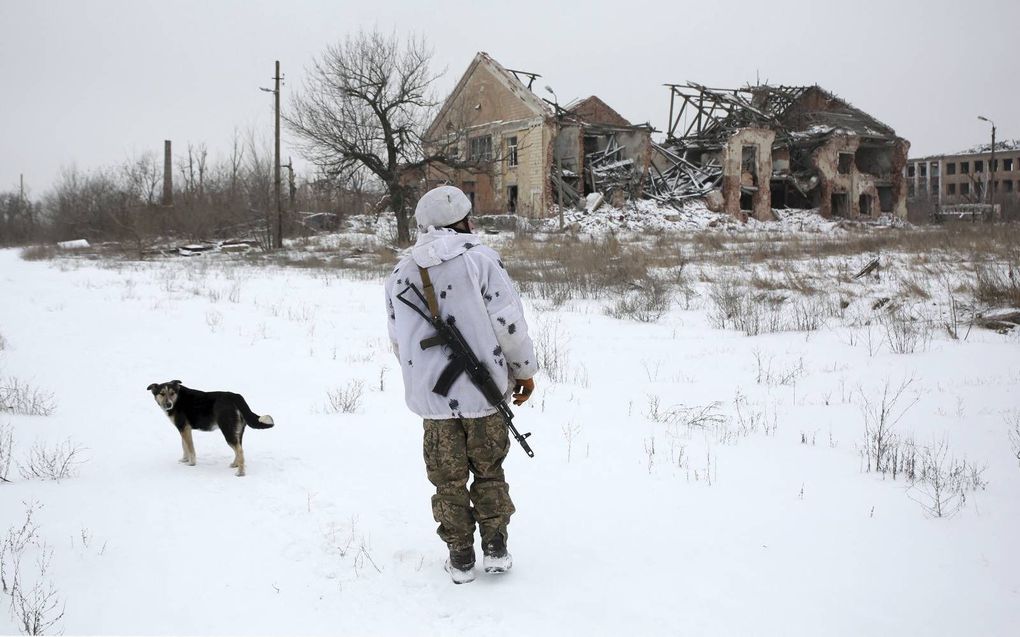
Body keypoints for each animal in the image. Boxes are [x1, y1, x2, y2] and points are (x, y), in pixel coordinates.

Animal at [146, 379, 275, 474]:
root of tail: (236, 396)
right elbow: (184, 446)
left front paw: (191, 463)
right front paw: (184, 460)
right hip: (237, 431)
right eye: (162, 393)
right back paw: (235, 465)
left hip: (228, 430)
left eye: (172, 393)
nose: (169, 404)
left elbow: (190, 448)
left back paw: (240, 473)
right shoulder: (183, 429)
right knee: (239, 449)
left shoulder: (184, 428)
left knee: (239, 451)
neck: (178, 399)